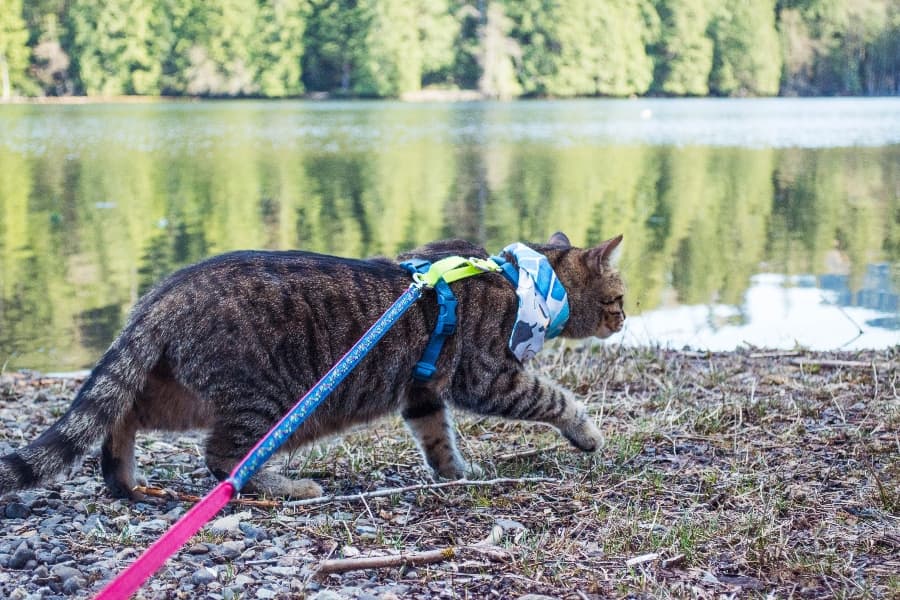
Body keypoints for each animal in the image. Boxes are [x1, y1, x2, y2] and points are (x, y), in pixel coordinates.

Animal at [0, 232, 624, 500]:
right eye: (619, 298)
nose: (623, 320)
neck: (524, 280)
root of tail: (163, 292)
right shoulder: (489, 376)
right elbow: (554, 397)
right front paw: (587, 433)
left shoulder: (422, 391)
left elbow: (436, 437)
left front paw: (454, 473)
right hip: (261, 398)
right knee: (222, 457)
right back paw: (287, 485)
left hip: (182, 390)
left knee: (122, 411)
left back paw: (123, 476)